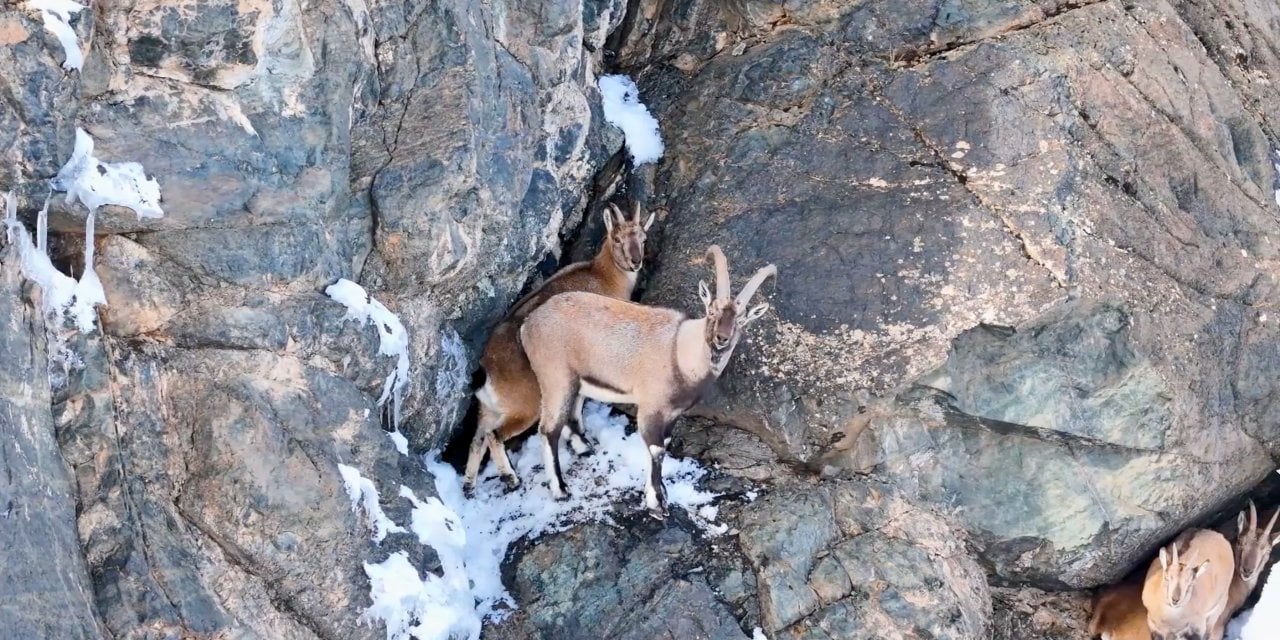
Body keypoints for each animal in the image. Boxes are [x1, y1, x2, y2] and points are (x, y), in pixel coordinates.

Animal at [460, 200, 655, 494]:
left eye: (643, 238)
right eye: (618, 238)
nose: (635, 262)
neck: (603, 276)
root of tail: (487, 369)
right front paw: (581, 436)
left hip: (488, 410)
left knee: (477, 440)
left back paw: (469, 485)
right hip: (526, 405)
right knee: (495, 436)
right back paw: (512, 477)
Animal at [519, 241, 778, 517]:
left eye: (741, 319)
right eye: (711, 311)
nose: (722, 339)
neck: (679, 351)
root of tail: (528, 324)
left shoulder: (673, 414)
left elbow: (665, 443)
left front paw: (659, 491)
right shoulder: (650, 409)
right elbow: (656, 450)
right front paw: (657, 502)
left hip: (576, 382)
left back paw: (583, 448)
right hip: (556, 378)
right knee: (549, 429)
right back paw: (560, 489)